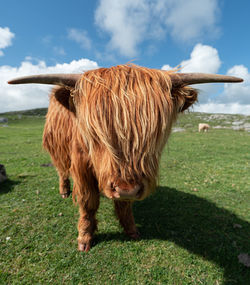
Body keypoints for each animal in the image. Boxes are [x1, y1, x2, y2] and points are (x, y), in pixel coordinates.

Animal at [7, 64, 242, 251]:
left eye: (157, 133)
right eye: (94, 133)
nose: (126, 189)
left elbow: (124, 205)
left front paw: (131, 229)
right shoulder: (81, 164)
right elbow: (87, 201)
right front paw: (85, 237)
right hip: (57, 150)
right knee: (61, 170)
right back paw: (64, 191)